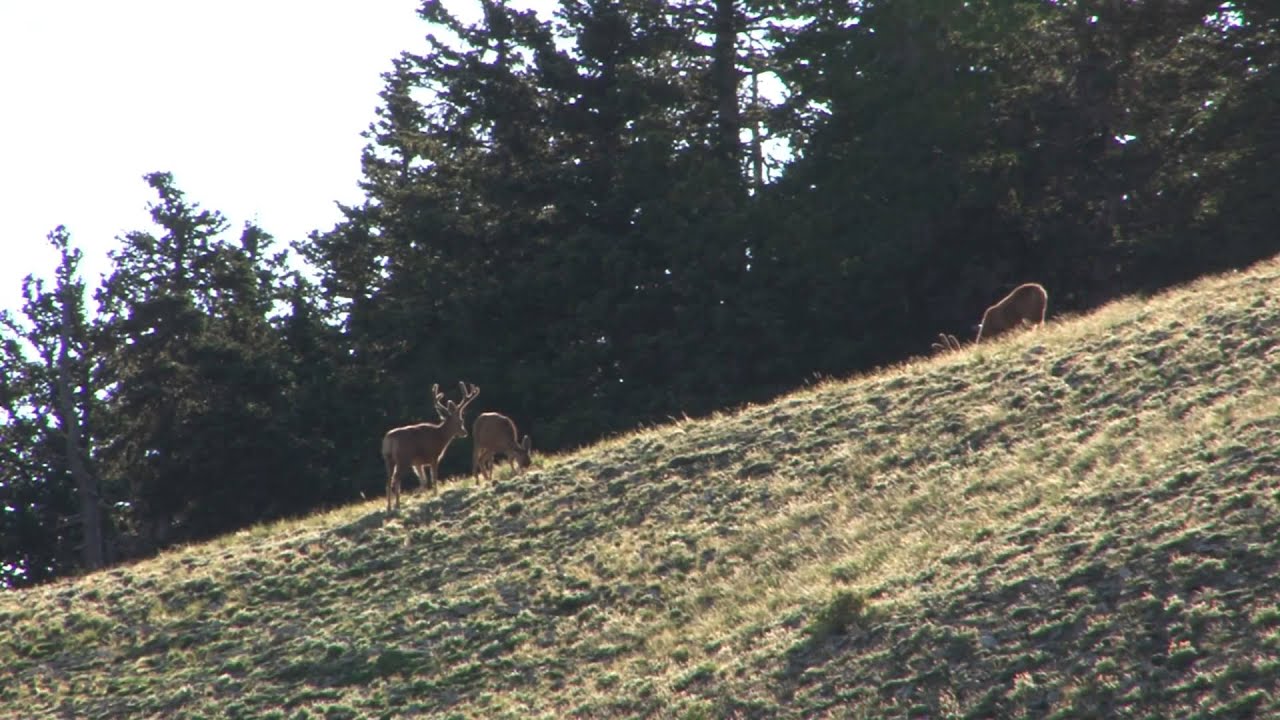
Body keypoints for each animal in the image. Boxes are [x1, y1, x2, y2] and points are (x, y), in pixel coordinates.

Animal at [381, 381, 480, 513]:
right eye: (461, 420)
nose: (465, 432)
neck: (440, 436)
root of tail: (389, 439)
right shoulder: (434, 456)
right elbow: (434, 478)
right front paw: (435, 495)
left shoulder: (418, 463)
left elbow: (423, 481)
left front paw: (420, 495)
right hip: (403, 459)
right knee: (396, 479)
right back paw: (397, 505)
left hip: (388, 459)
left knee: (388, 481)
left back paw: (389, 507)